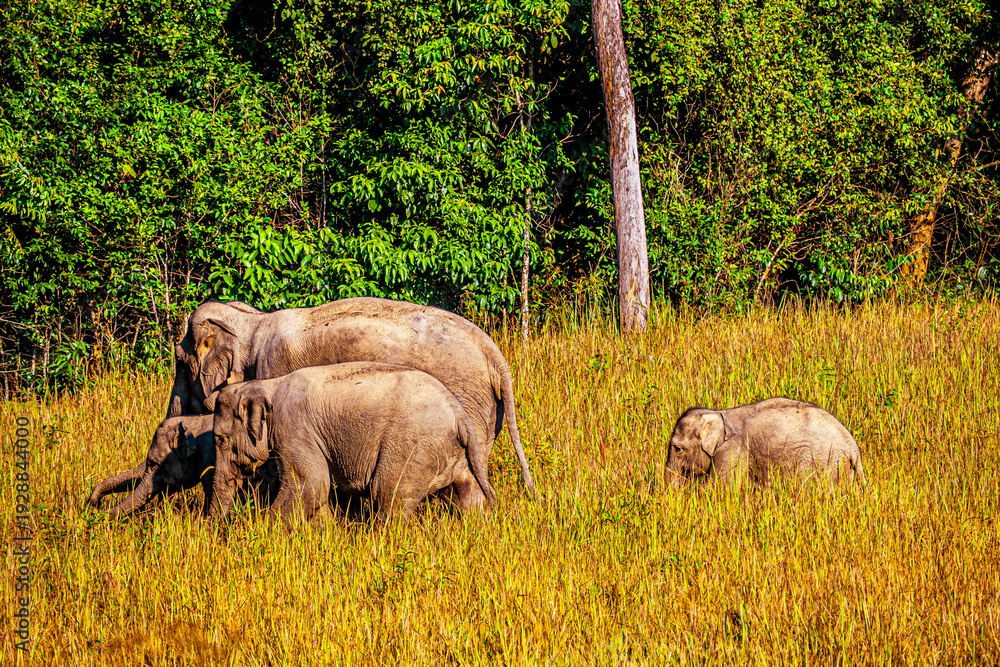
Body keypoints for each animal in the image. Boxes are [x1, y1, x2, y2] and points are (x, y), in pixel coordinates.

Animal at [205, 362, 495, 525]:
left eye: (220, 439)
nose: (216, 533)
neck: (269, 385)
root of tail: (458, 413)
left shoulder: (294, 429)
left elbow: (311, 483)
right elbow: (319, 492)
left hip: (413, 446)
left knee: (389, 496)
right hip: (456, 454)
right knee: (470, 495)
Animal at [665, 397, 866, 488]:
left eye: (678, 448)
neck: (718, 413)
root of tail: (853, 447)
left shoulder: (733, 450)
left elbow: (721, 487)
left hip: (823, 461)